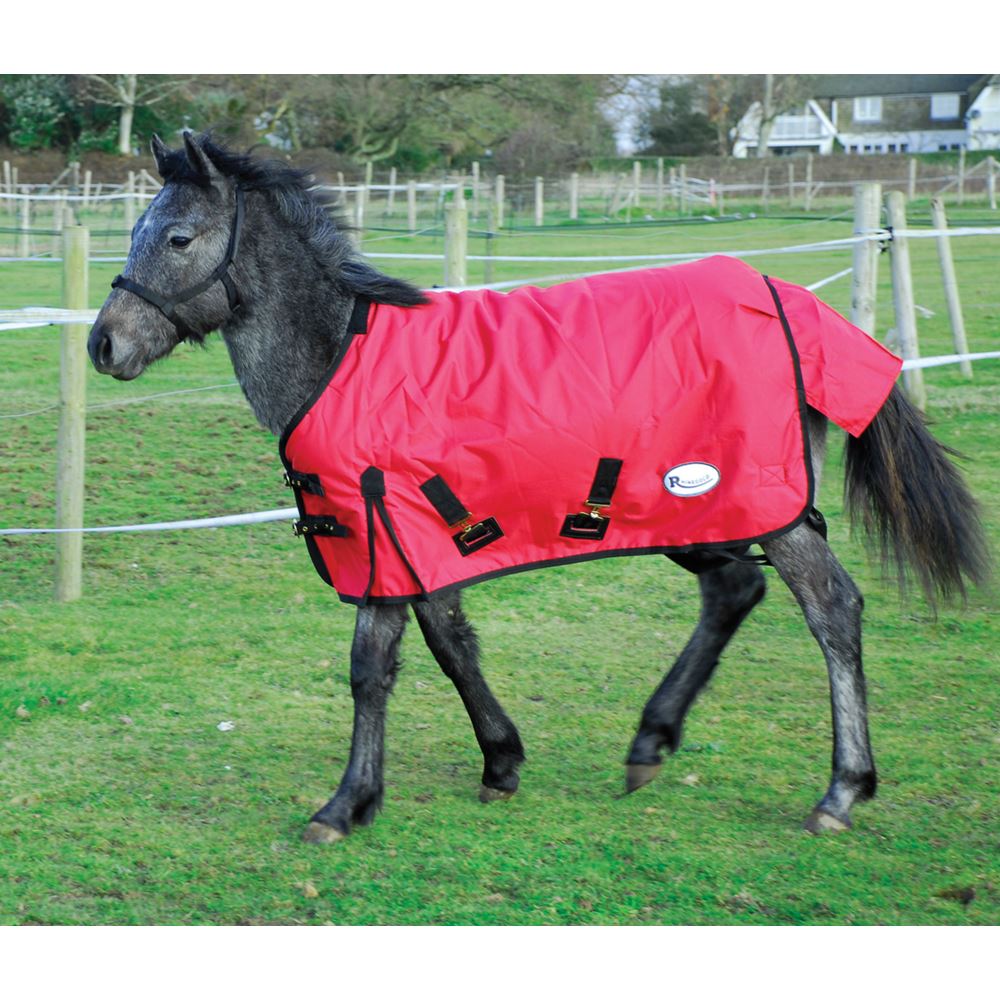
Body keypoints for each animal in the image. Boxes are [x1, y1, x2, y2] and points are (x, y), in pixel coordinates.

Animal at [88, 132, 988, 844]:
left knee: (831, 608)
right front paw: (501, 761)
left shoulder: (380, 535)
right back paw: (650, 743)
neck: (341, 355)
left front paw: (345, 806)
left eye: (177, 237)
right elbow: (452, 644)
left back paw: (840, 790)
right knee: (735, 590)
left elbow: (371, 668)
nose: (104, 344)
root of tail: (792, 300)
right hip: (689, 509)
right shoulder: (419, 543)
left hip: (763, 507)